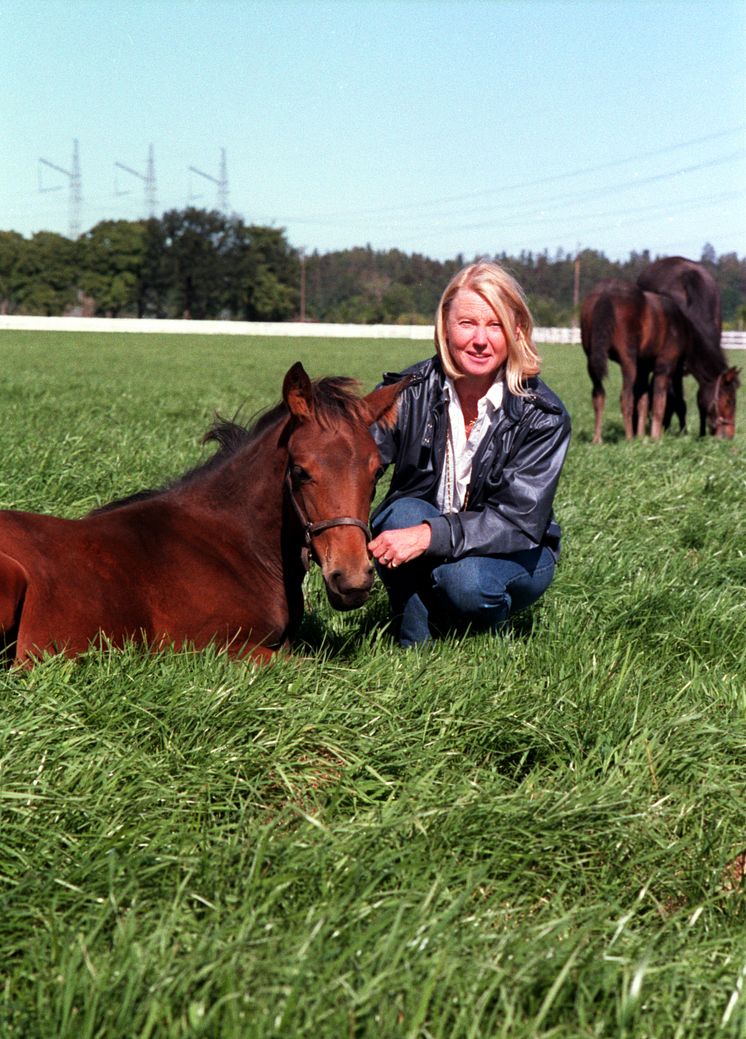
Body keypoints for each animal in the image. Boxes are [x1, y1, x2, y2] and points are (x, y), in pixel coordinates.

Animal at [581, 280, 694, 442]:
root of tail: (606, 294)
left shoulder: (644, 369)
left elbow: (643, 401)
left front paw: (641, 436)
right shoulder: (664, 367)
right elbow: (659, 402)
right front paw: (655, 437)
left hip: (592, 362)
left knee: (598, 395)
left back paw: (598, 439)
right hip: (628, 362)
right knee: (626, 398)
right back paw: (629, 438)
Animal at [640, 261, 739, 440]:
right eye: (728, 401)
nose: (728, 436)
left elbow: (699, 399)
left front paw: (701, 434)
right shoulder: (676, 366)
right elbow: (679, 402)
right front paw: (683, 432)